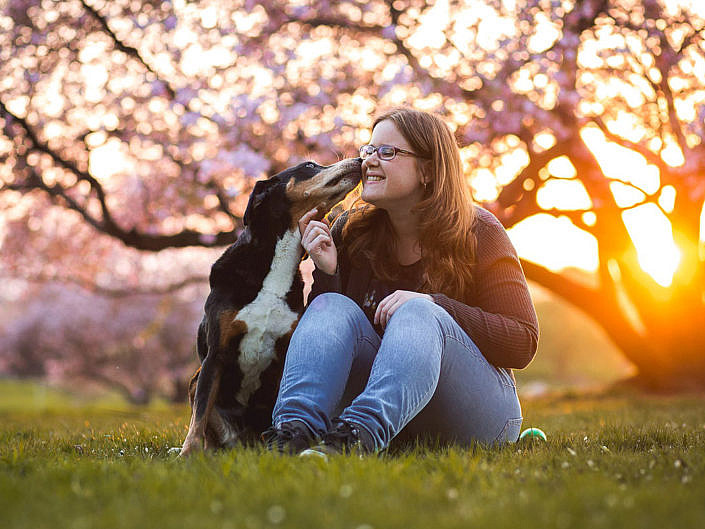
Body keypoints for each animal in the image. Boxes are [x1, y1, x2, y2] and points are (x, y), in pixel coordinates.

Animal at [179, 156, 360, 454]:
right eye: (309, 166)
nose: (358, 158)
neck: (277, 262)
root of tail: (245, 441)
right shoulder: (215, 355)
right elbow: (199, 416)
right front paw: (187, 453)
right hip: (196, 377)